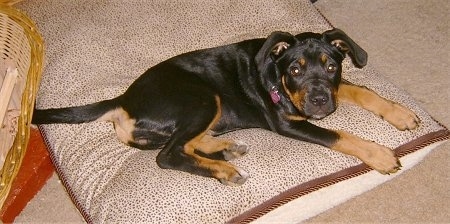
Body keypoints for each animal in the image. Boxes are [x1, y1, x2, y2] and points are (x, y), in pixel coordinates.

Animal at [33, 28, 420, 186]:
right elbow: (339, 135)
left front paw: (399, 114)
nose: (320, 100)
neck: (275, 75)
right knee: (168, 155)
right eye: (294, 71)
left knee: (182, 144)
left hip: (205, 108)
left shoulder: (335, 90)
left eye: (331, 67)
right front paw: (379, 154)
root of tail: (123, 101)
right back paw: (224, 169)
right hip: (202, 98)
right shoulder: (288, 122)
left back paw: (225, 149)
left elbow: (362, 90)